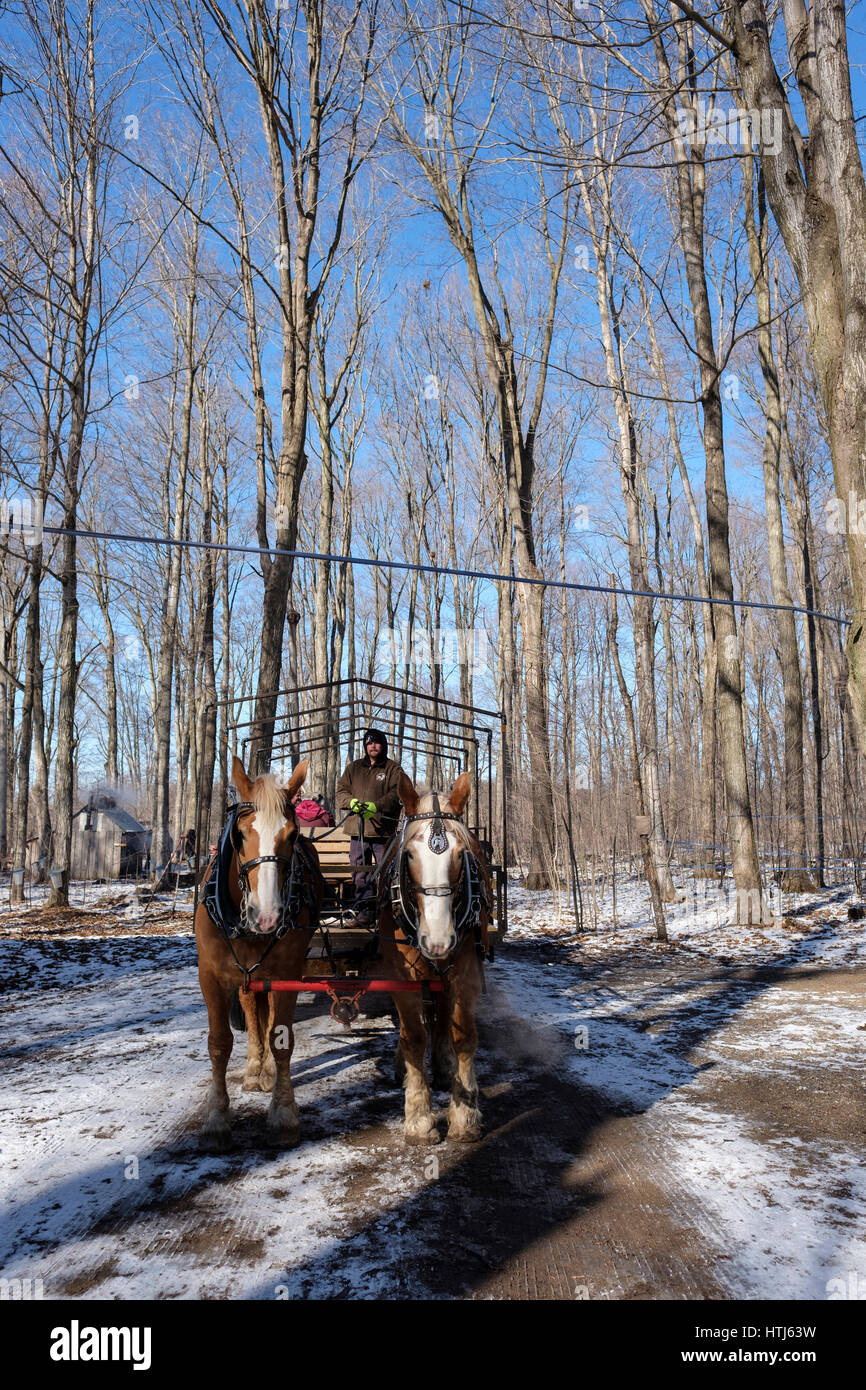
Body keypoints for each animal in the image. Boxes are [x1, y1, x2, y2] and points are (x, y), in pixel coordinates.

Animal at [193, 756, 322, 1145]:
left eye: (293, 835)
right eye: (239, 834)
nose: (267, 915)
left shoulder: (287, 973)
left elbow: (281, 1038)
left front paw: (284, 1113)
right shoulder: (211, 974)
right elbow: (219, 1042)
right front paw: (217, 1116)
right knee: (251, 1010)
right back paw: (254, 1068)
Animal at [378, 772, 492, 1139]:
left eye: (461, 854)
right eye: (410, 855)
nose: (438, 941)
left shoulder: (467, 969)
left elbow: (464, 1036)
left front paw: (465, 1113)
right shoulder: (400, 973)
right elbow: (414, 1037)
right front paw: (418, 1117)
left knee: (441, 1014)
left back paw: (443, 1065)